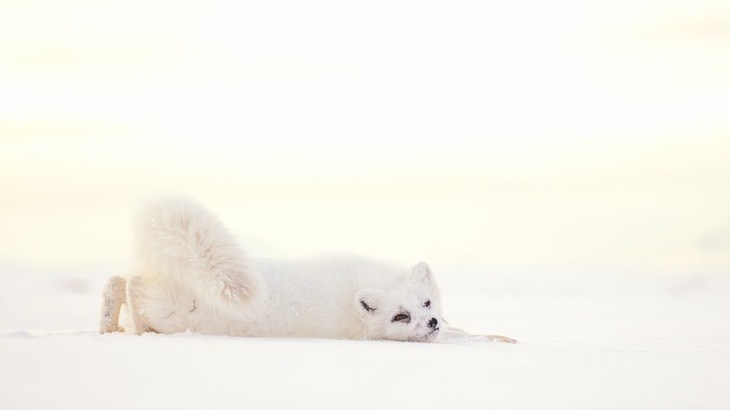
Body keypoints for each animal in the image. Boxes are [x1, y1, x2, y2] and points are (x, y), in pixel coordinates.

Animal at [99, 196, 516, 342]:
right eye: (401, 316)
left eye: (427, 303)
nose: (429, 322)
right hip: (172, 306)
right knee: (131, 284)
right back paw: (138, 329)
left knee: (116, 280)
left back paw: (108, 327)